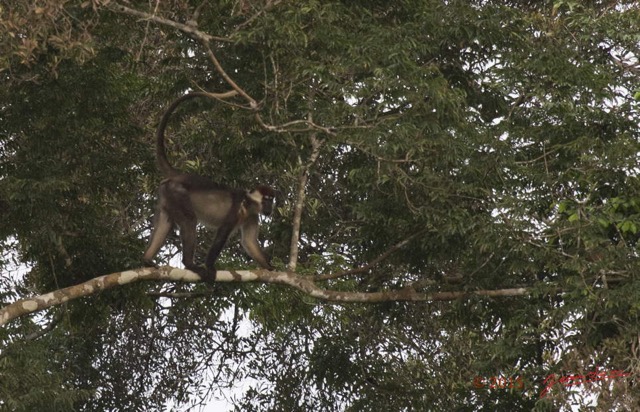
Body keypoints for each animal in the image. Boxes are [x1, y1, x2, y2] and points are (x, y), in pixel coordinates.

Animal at [142, 91, 276, 282]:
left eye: (272, 200)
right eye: (266, 200)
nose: (270, 208)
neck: (248, 204)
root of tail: (179, 175)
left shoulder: (252, 216)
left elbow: (250, 244)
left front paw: (271, 269)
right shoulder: (237, 209)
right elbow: (222, 233)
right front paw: (210, 267)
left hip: (166, 195)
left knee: (165, 221)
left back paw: (146, 260)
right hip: (176, 191)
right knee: (190, 220)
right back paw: (189, 264)